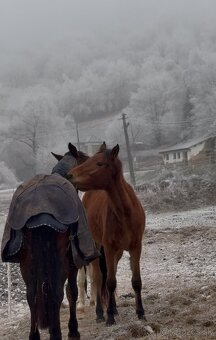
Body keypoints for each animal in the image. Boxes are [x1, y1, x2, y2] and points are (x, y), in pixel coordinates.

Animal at [2, 143, 89, 340]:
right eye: (86, 159)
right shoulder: (72, 264)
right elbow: (71, 292)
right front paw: (73, 330)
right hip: (59, 261)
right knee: (55, 294)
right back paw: (56, 333)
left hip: (27, 262)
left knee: (32, 296)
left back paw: (35, 335)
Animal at [68, 142, 146, 326]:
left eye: (99, 163)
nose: (70, 175)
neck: (125, 213)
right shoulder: (109, 248)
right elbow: (109, 282)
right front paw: (109, 316)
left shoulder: (135, 247)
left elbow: (136, 281)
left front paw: (140, 312)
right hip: (97, 247)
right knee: (98, 277)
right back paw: (100, 312)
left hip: (117, 252)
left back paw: (114, 308)